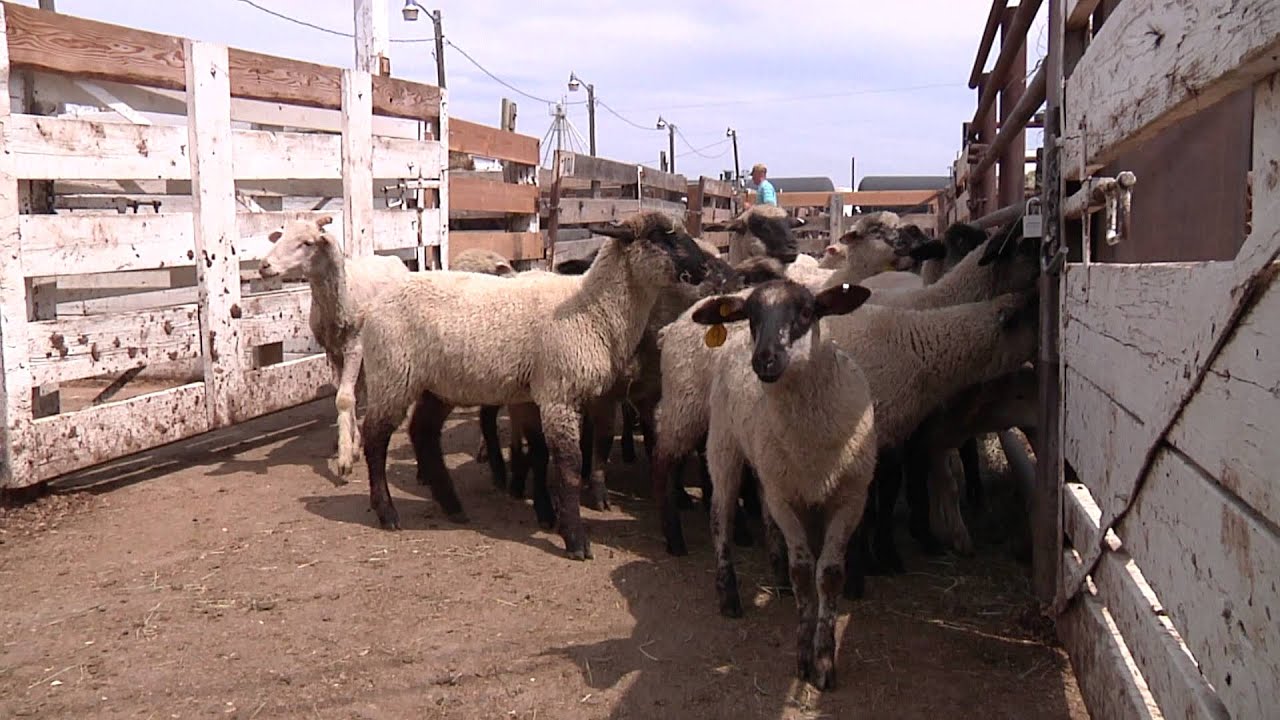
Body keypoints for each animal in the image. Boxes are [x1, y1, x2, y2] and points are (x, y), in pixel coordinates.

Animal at [258, 215, 411, 477]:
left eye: (307, 243)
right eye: (282, 236)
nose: (264, 265)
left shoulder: (355, 347)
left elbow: (345, 399)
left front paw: (345, 458)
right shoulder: (333, 352)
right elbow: (348, 396)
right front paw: (352, 443)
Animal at [357, 211, 724, 560]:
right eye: (660, 236)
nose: (705, 268)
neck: (591, 307)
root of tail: (373, 306)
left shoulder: (539, 396)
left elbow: (541, 453)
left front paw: (549, 514)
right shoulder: (559, 393)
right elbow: (569, 466)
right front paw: (575, 539)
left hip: (438, 384)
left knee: (423, 432)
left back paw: (452, 506)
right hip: (393, 373)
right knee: (374, 437)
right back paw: (387, 512)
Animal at [691, 279, 877, 690]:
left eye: (807, 312)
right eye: (752, 315)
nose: (765, 359)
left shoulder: (850, 499)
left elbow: (829, 574)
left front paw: (824, 661)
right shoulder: (787, 499)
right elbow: (804, 572)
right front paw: (806, 656)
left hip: (768, 466)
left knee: (762, 508)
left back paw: (776, 578)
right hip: (724, 444)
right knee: (720, 518)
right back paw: (729, 596)